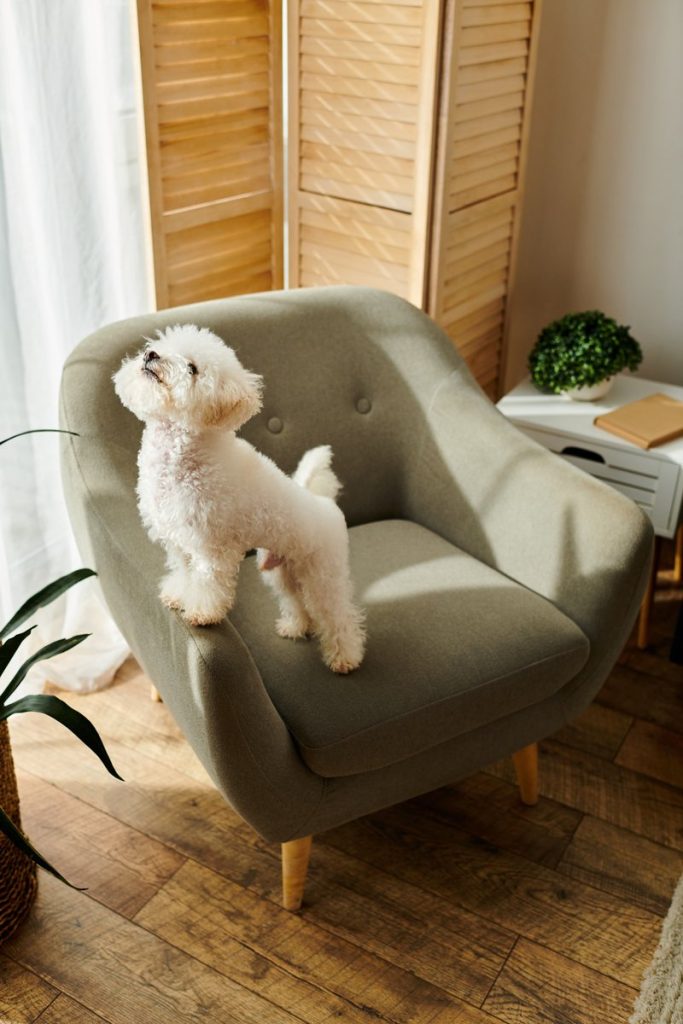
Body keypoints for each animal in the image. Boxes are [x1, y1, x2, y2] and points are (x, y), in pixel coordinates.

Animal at [114, 319, 366, 671]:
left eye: (192, 368)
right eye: (161, 346)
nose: (151, 355)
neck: (181, 457)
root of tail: (324, 503)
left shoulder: (211, 547)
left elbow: (207, 583)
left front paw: (202, 613)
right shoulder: (177, 541)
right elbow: (183, 572)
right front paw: (178, 594)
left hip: (323, 573)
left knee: (338, 614)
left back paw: (345, 657)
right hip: (280, 571)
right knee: (297, 602)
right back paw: (295, 627)